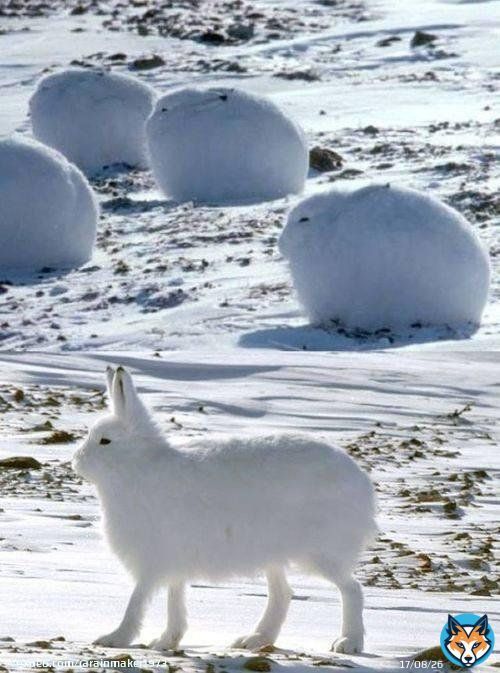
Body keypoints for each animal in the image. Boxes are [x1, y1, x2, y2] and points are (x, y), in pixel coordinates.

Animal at [72, 366, 377, 654]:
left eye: (105, 441)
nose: (76, 461)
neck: (138, 465)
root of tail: (361, 484)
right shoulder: (173, 563)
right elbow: (175, 600)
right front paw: (167, 641)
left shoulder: (153, 559)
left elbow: (137, 600)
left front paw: (114, 638)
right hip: (274, 555)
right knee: (283, 594)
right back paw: (254, 639)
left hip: (318, 552)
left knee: (352, 589)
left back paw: (349, 643)